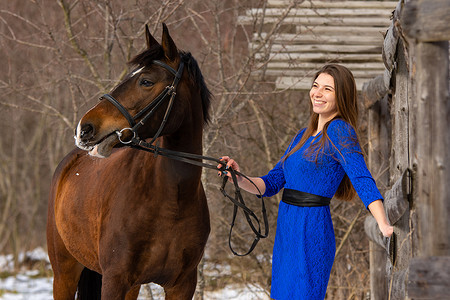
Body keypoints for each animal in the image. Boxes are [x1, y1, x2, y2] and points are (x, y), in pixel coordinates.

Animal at [46, 24, 212, 300]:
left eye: (146, 81)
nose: (85, 128)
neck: (172, 200)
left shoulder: (182, 285)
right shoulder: (114, 281)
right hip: (64, 275)